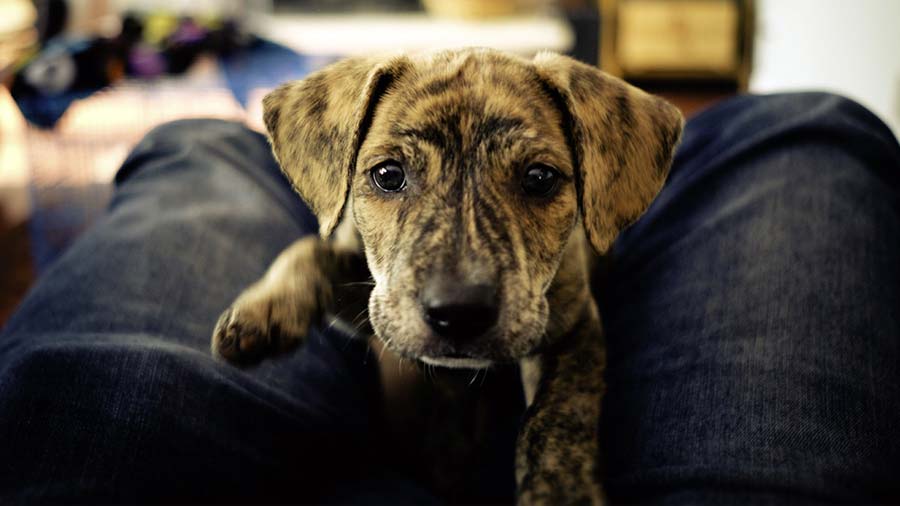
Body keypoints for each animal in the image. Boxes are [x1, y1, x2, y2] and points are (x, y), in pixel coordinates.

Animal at [211, 48, 684, 506]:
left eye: (539, 178)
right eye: (388, 175)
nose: (460, 313)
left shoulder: (574, 323)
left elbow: (559, 413)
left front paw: (561, 488)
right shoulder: (376, 300)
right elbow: (312, 251)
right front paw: (263, 311)